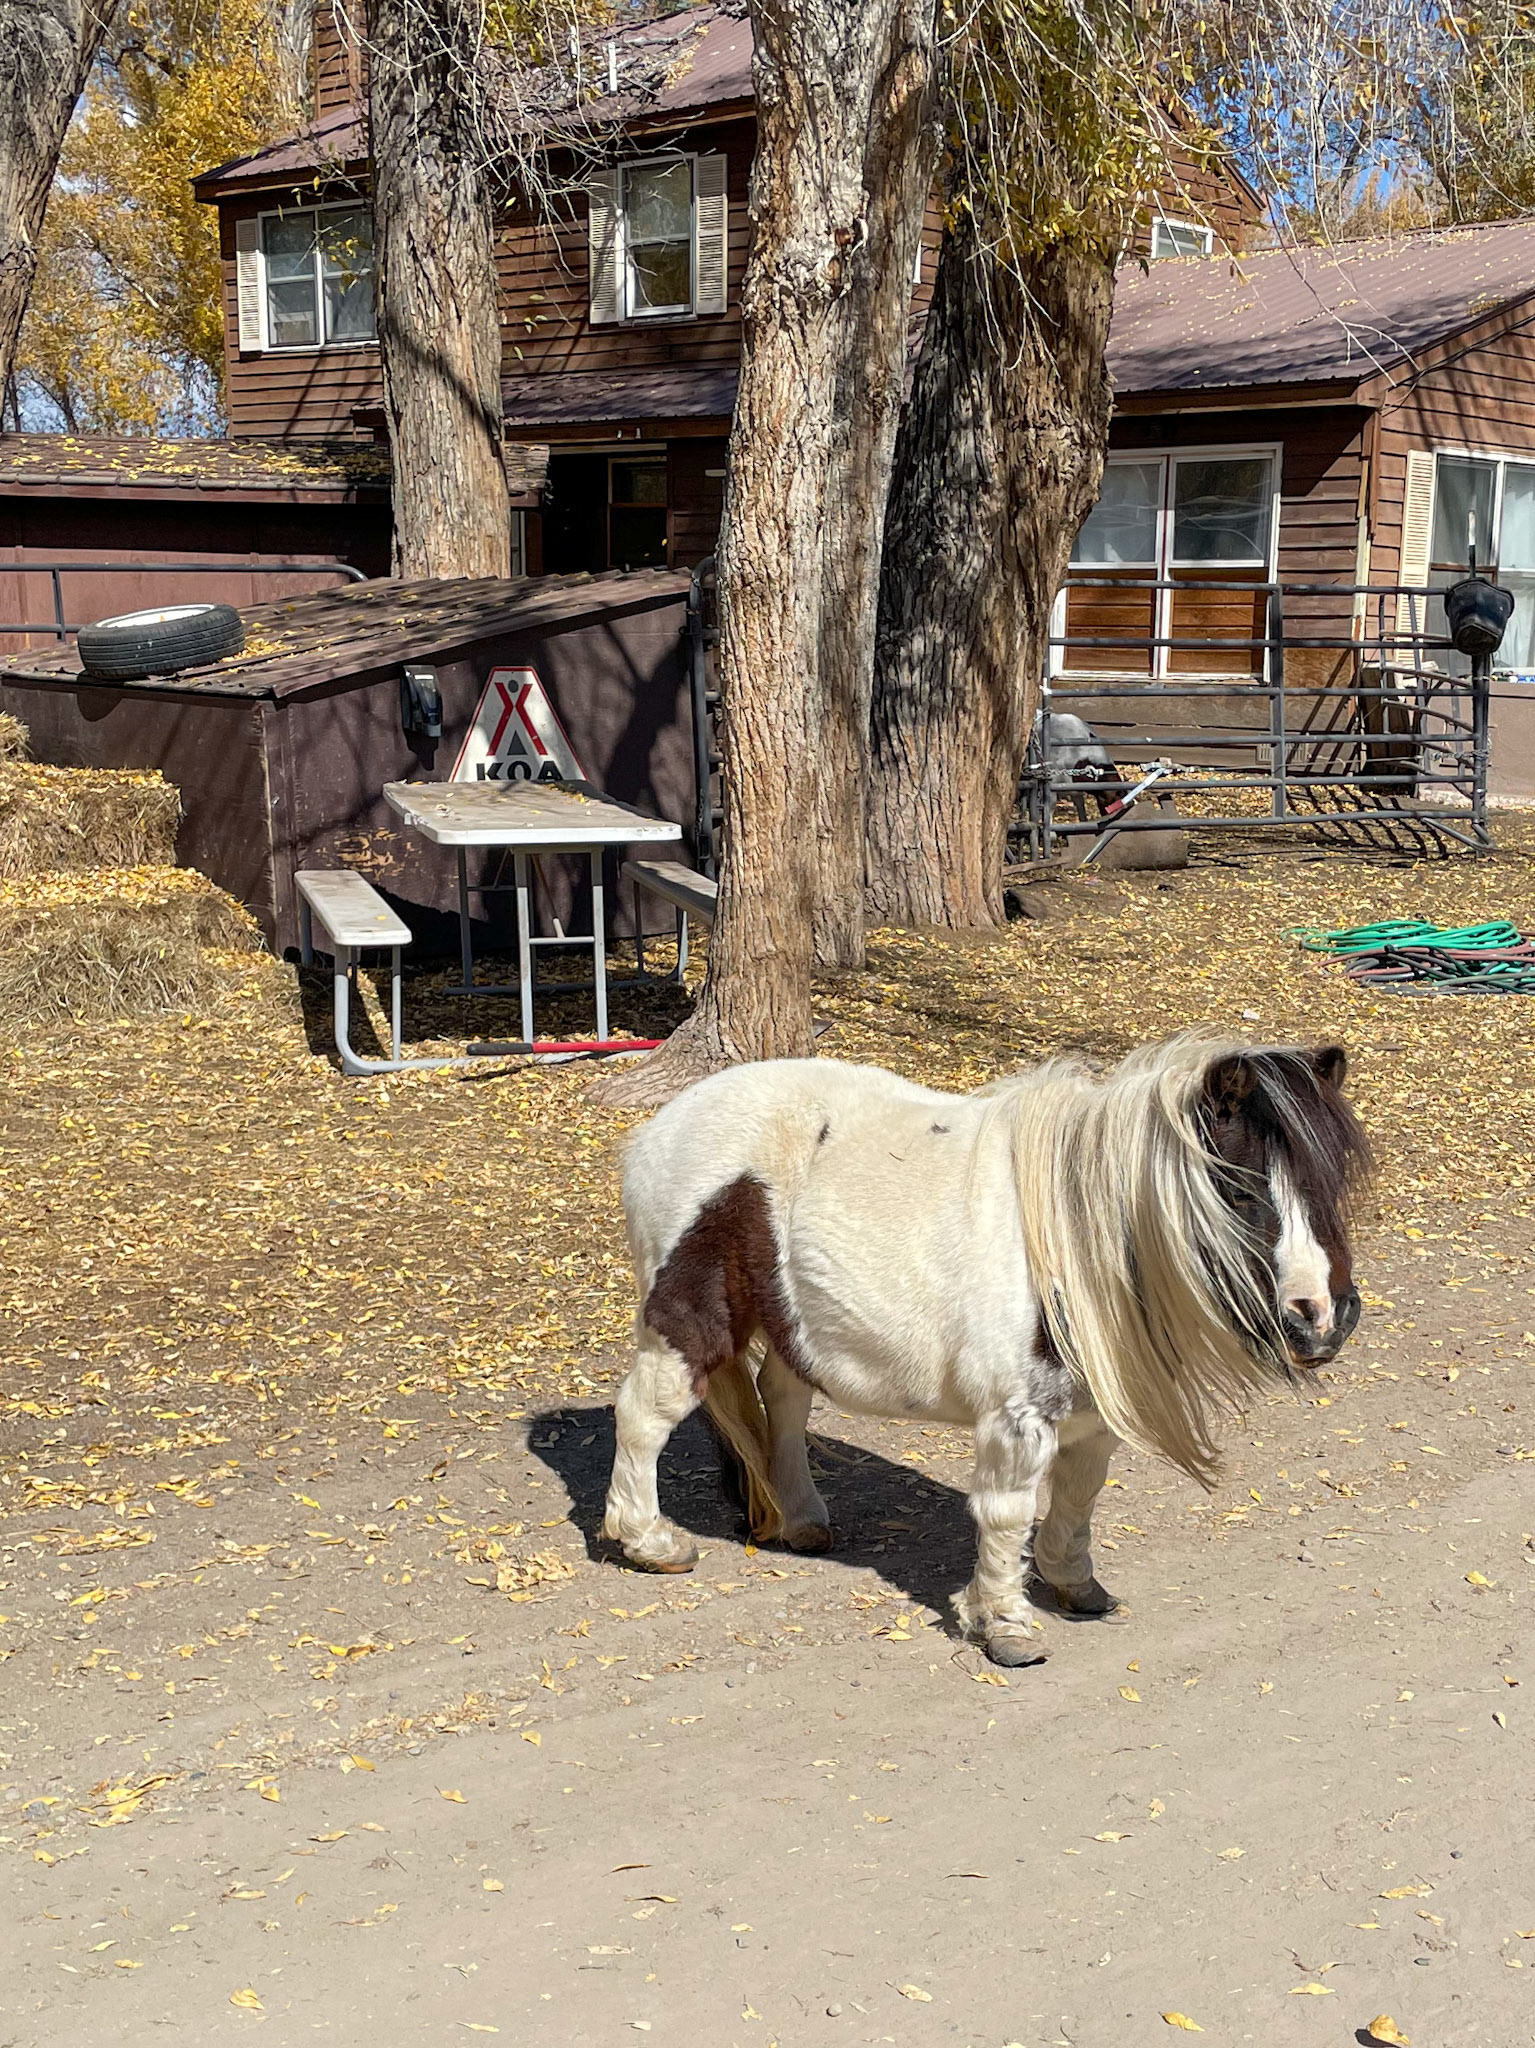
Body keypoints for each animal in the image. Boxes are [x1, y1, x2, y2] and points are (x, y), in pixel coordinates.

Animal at [601, 1033, 1370, 1666]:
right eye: (1237, 1188)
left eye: (1330, 1181)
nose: (1320, 1320)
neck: (1070, 1235)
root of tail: (659, 1129)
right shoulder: (1015, 1416)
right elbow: (1007, 1513)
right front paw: (1004, 1624)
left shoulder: (1088, 1411)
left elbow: (1078, 1496)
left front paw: (1073, 1584)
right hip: (684, 1324)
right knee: (644, 1416)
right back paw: (651, 1543)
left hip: (798, 1325)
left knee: (780, 1403)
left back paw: (802, 1521)